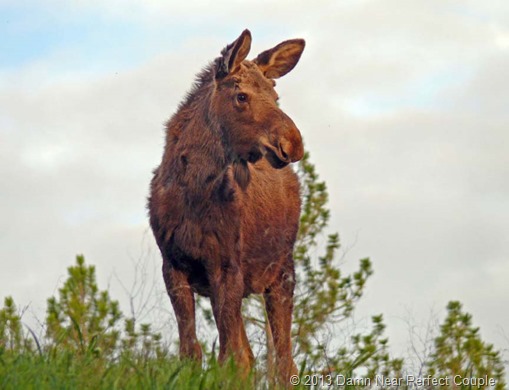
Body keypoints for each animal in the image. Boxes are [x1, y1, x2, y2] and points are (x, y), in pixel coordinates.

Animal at [148, 29, 306, 382]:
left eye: (275, 96)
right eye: (241, 96)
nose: (293, 142)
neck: (193, 192)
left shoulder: (225, 265)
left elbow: (231, 357)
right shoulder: (172, 264)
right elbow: (192, 352)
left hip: (281, 271)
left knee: (285, 362)